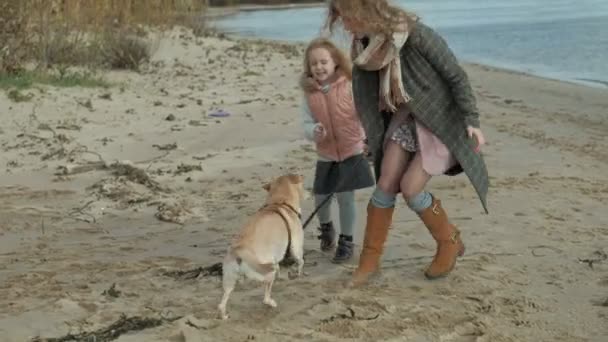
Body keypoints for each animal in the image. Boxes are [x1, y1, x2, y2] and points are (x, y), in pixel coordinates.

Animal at [216, 174, 306, 320]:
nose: (309, 193)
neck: (279, 202)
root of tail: (239, 251)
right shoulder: (296, 247)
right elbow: (300, 261)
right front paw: (298, 274)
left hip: (229, 279)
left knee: (222, 302)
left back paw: (224, 316)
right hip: (267, 272)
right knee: (265, 297)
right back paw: (271, 303)